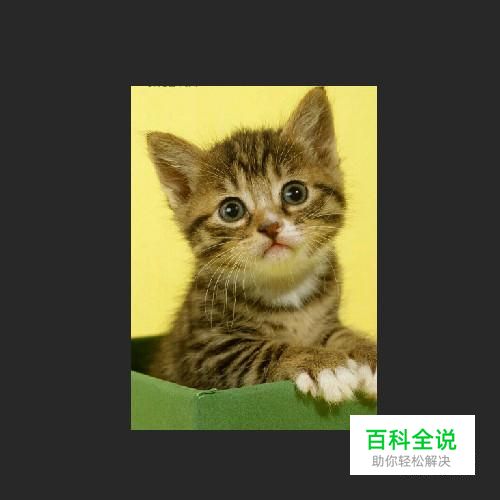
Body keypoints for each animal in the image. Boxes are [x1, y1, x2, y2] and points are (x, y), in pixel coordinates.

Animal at [146, 87, 377, 403]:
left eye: (295, 193)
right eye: (231, 210)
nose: (270, 227)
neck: (285, 290)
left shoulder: (327, 320)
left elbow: (340, 334)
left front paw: (367, 352)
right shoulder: (206, 349)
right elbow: (261, 349)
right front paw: (322, 364)